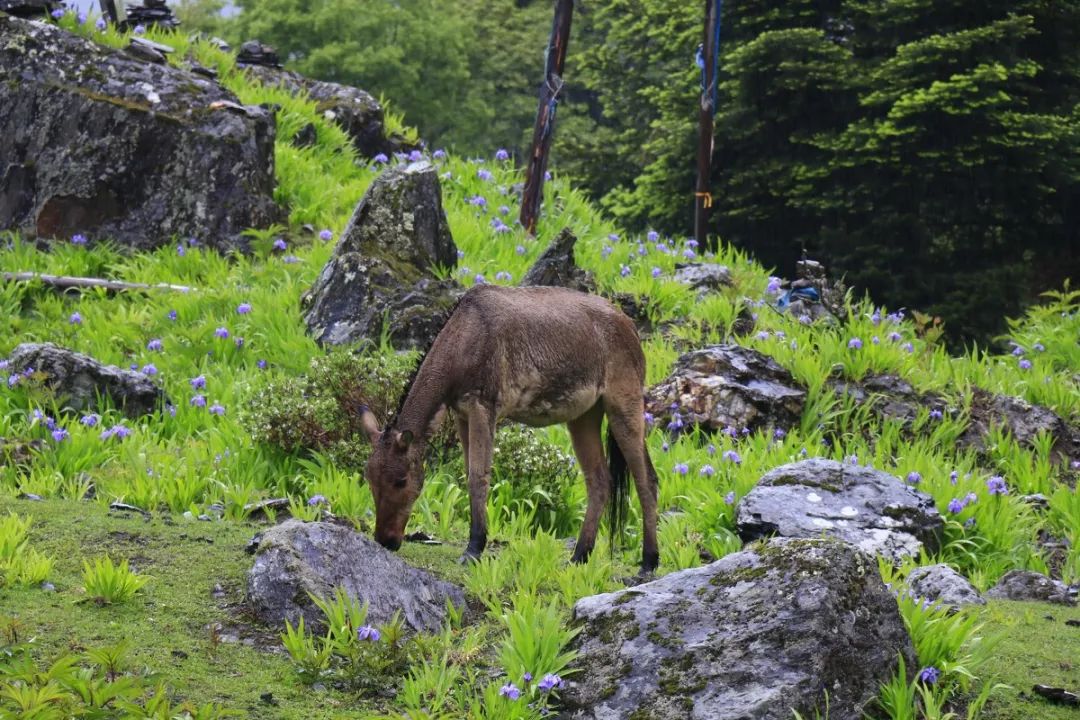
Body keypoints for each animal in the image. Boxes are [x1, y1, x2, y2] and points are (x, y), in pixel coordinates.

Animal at [360, 284, 656, 569]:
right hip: (584, 415)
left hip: (623, 402)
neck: (458, 350)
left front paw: (474, 548)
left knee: (646, 478)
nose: (386, 539)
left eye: (401, 480)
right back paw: (579, 556)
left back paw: (649, 561)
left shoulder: (483, 405)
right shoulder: (462, 412)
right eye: (369, 479)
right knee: (600, 480)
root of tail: (633, 330)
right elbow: (468, 473)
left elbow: (479, 476)